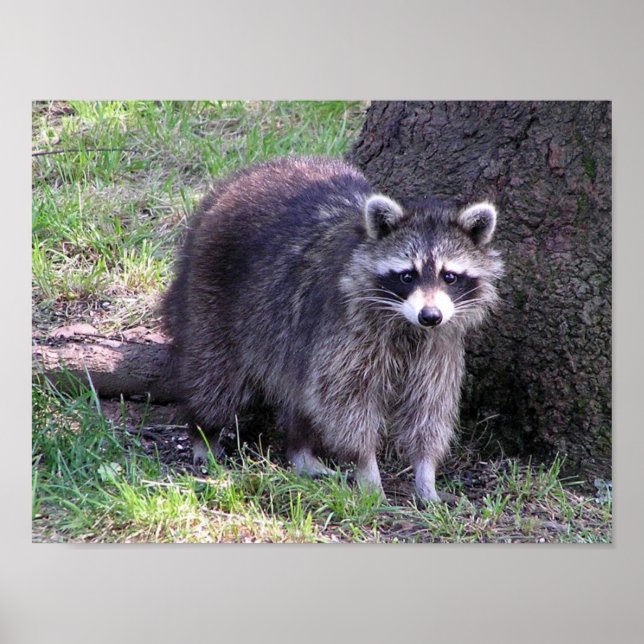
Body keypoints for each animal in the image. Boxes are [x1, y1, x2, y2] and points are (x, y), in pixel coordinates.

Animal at [161, 156, 503, 503]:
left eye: (450, 276)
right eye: (407, 276)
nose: (430, 315)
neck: (405, 325)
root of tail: (236, 183)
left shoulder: (438, 345)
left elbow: (430, 406)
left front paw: (426, 472)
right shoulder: (345, 331)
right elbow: (345, 403)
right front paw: (368, 469)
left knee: (301, 395)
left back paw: (300, 451)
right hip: (211, 296)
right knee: (215, 377)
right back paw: (204, 433)